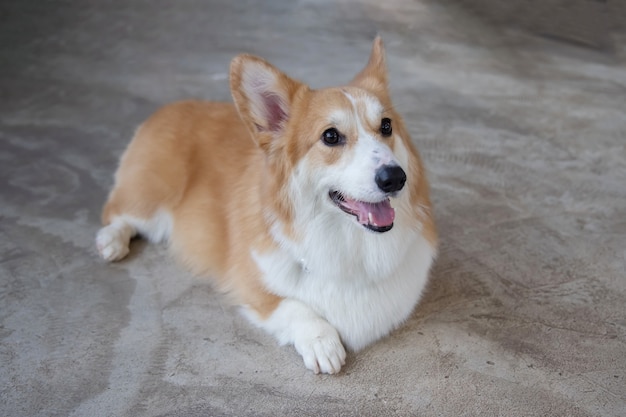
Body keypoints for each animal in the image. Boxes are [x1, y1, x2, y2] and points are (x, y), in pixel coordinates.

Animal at [98, 36, 438, 374]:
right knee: (117, 211)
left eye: (386, 126)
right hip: (151, 200)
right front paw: (322, 341)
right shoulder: (251, 285)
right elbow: (293, 306)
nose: (395, 178)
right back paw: (111, 241)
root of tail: (170, 107)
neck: (349, 243)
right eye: (330, 136)